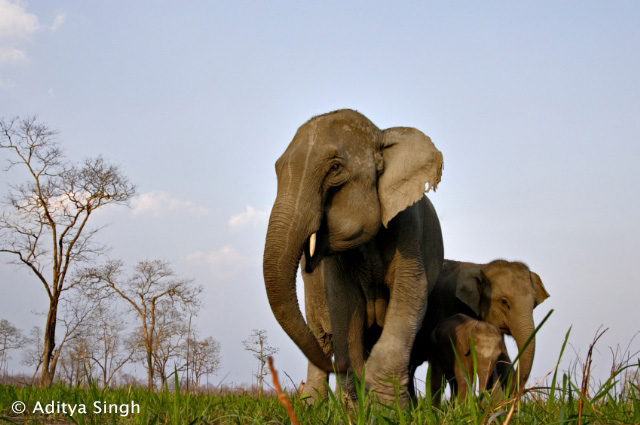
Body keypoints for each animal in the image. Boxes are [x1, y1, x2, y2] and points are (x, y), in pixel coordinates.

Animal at [262, 109, 442, 400]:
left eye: (335, 168)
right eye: (277, 170)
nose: (341, 366)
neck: (381, 135)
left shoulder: (408, 224)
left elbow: (410, 291)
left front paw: (384, 402)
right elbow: (344, 303)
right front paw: (361, 399)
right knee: (321, 337)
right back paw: (312, 402)